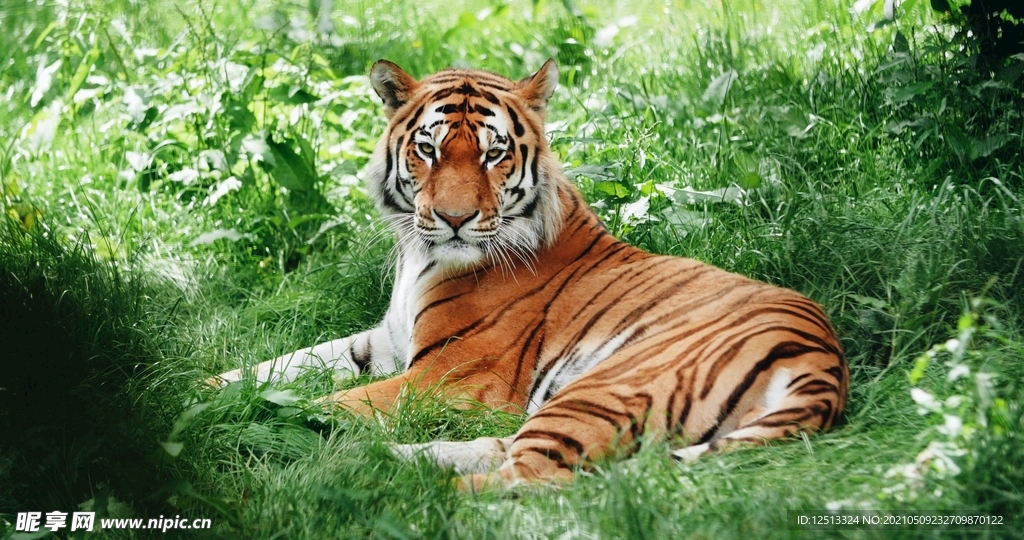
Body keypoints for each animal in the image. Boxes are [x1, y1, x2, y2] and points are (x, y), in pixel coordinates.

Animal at [212, 59, 848, 491]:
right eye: (428, 150)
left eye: (493, 154)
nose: (454, 219)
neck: (421, 257)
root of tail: (824, 360)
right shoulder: (382, 342)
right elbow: (276, 367)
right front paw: (205, 392)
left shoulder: (448, 378)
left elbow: (329, 402)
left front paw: (253, 420)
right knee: (505, 452)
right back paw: (379, 462)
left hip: (600, 387)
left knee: (529, 481)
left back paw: (377, 485)